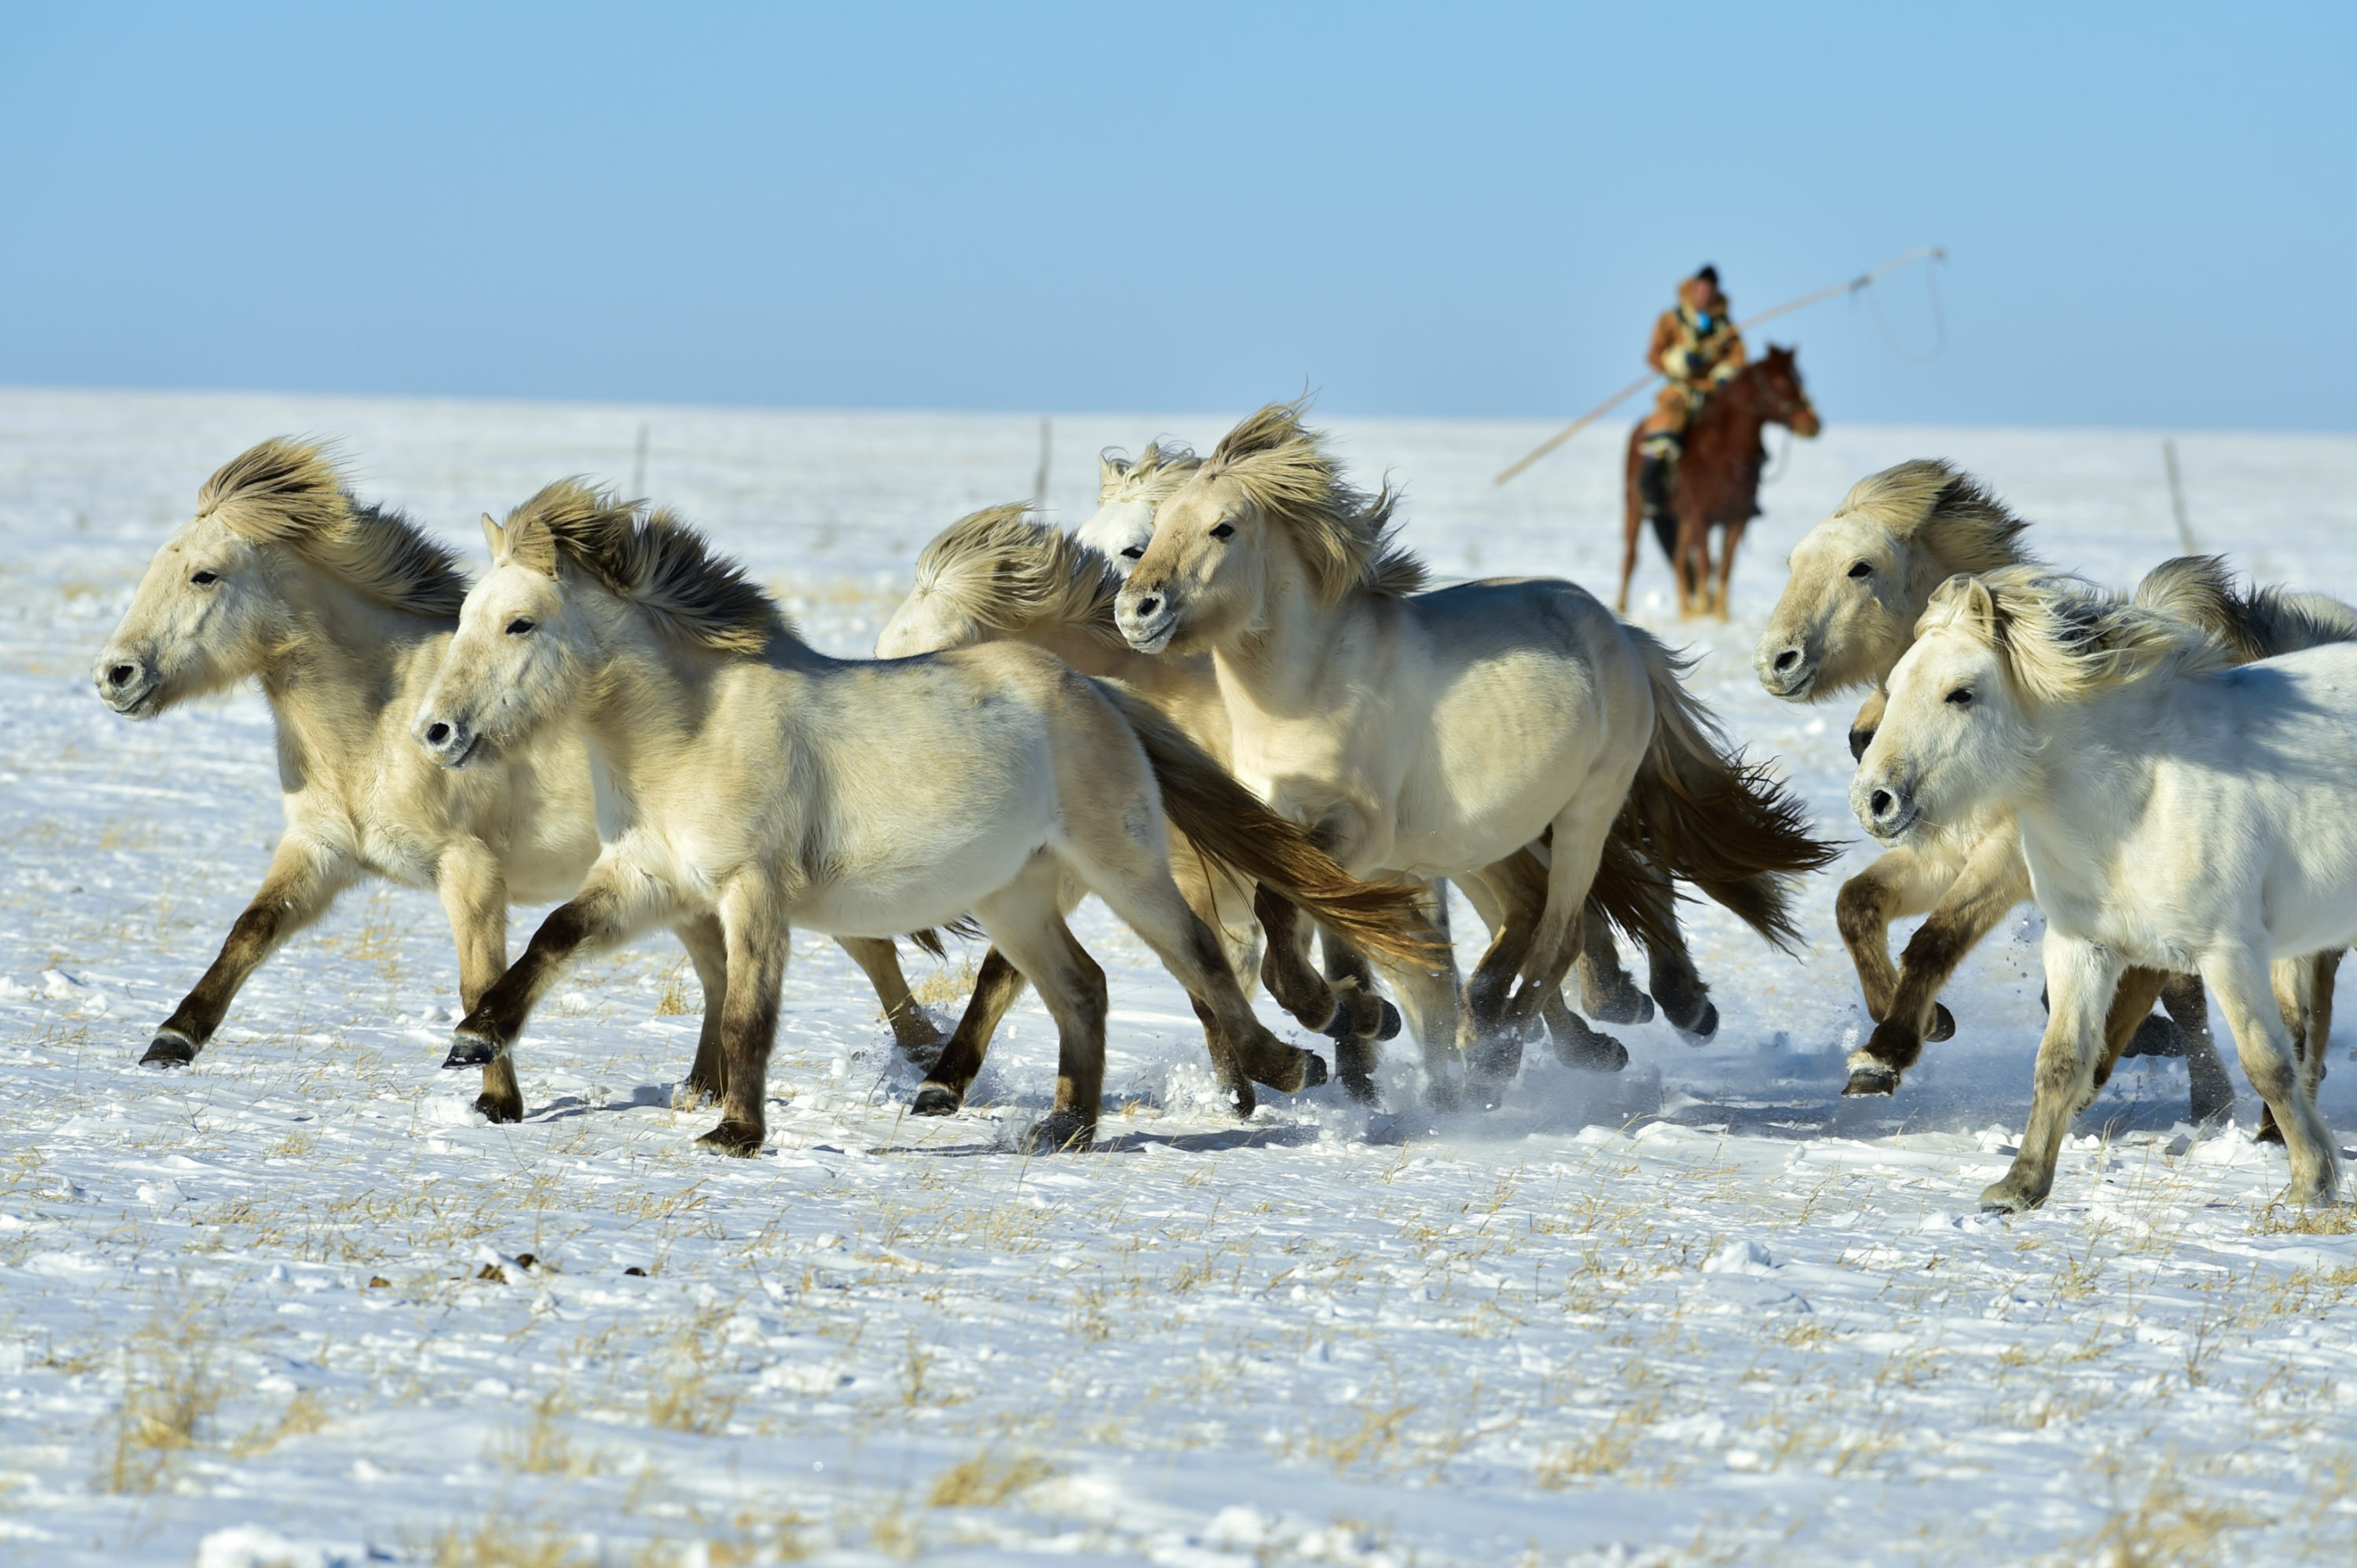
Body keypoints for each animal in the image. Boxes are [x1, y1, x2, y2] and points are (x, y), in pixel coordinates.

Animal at [412, 476, 1424, 1150]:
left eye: (521, 623)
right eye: (465, 616)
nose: (436, 730)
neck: (688, 733)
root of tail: (1092, 688)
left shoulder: (752, 892)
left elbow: (746, 1015)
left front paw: (736, 1132)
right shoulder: (649, 879)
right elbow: (553, 936)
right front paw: (473, 1043)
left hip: (1125, 865)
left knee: (1202, 959)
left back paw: (1289, 1067)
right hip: (1018, 894)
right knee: (1080, 986)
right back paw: (1063, 1124)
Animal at [1122, 398, 1838, 1094]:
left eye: (1223, 528)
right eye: (1151, 534)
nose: (1137, 610)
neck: (1308, 686)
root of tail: (1621, 634)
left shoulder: (1362, 831)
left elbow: (1288, 907)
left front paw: (1336, 1015)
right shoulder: (1285, 824)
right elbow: (1309, 917)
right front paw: (1351, 1014)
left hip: (1583, 814)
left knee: (1560, 932)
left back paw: (1506, 1054)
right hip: (1488, 831)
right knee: (1533, 915)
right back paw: (1509, 1026)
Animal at [1622, 349, 1820, 617]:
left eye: (1801, 378)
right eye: (1782, 382)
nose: (1813, 424)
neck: (1720, 453)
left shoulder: (1736, 518)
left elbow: (1725, 566)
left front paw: (1720, 616)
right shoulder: (1700, 517)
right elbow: (1707, 564)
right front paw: (1705, 613)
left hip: (1682, 520)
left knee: (1680, 560)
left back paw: (1686, 613)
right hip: (1637, 506)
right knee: (1632, 558)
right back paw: (1622, 607)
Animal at [1867, 568, 2348, 1202]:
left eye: (1961, 693)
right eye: (1894, 685)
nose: (1874, 799)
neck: (2140, 796)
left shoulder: (2228, 951)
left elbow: (2268, 1062)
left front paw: (2311, 1183)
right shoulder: (2080, 945)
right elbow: (2059, 1060)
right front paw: (2019, 1186)